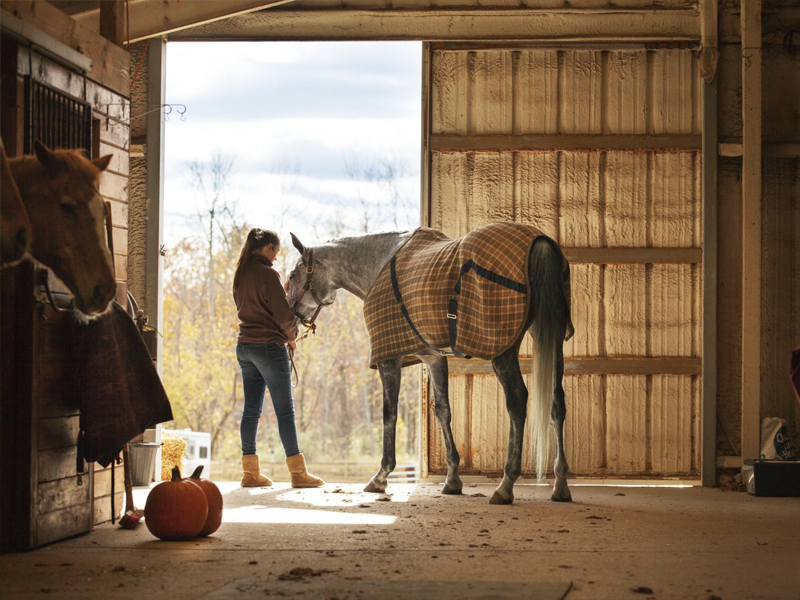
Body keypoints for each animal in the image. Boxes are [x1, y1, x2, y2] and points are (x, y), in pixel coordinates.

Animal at [284, 227, 572, 504]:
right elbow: (443, 410)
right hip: (554, 338)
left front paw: (381, 476)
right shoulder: (433, 357)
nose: (292, 318)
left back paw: (505, 486)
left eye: (293, 274)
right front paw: (452, 480)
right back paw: (560, 484)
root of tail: (538, 243)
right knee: (557, 403)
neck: (379, 263)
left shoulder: (389, 359)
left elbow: (389, 413)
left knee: (517, 401)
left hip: (503, 351)